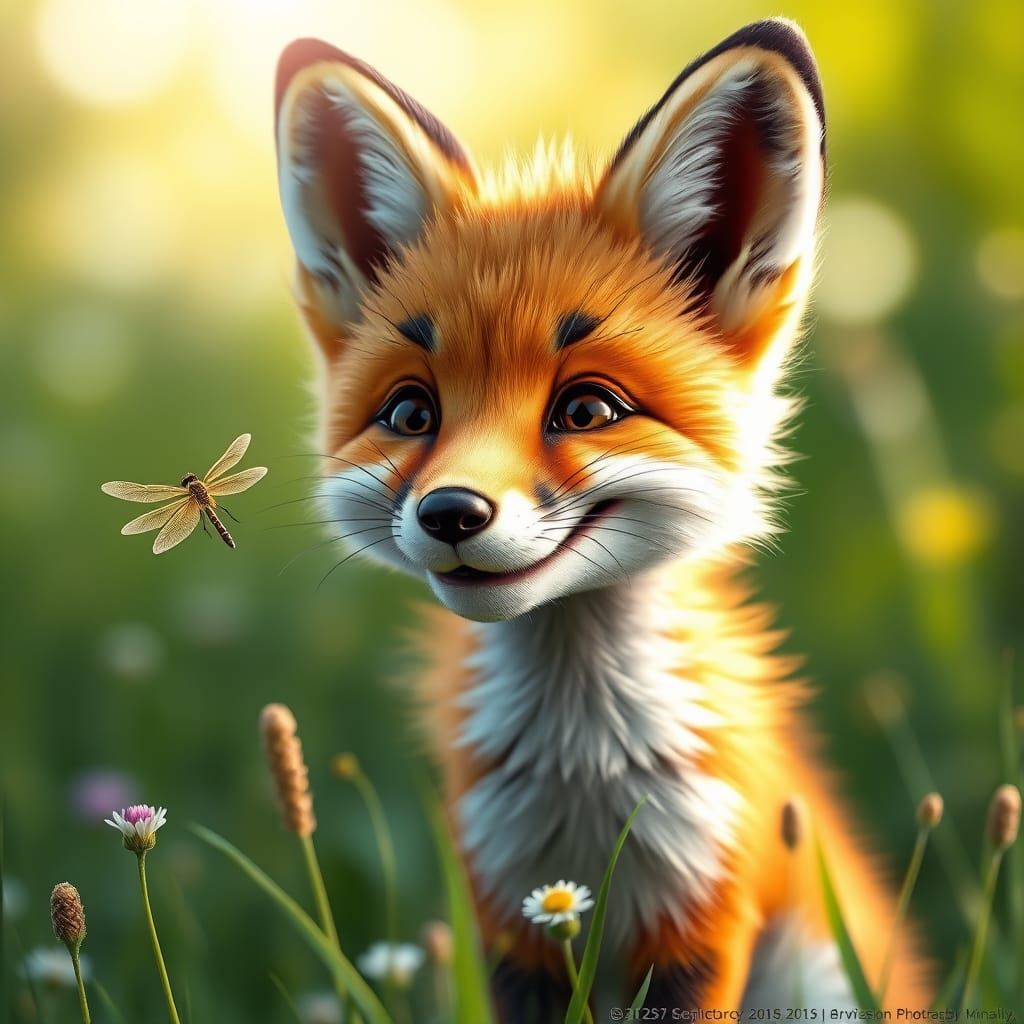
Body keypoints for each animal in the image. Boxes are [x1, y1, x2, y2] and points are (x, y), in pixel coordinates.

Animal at [274, 18, 930, 1017]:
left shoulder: (701, 918)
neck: (582, 777)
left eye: (586, 409)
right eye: (412, 415)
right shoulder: (514, 918)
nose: (450, 511)